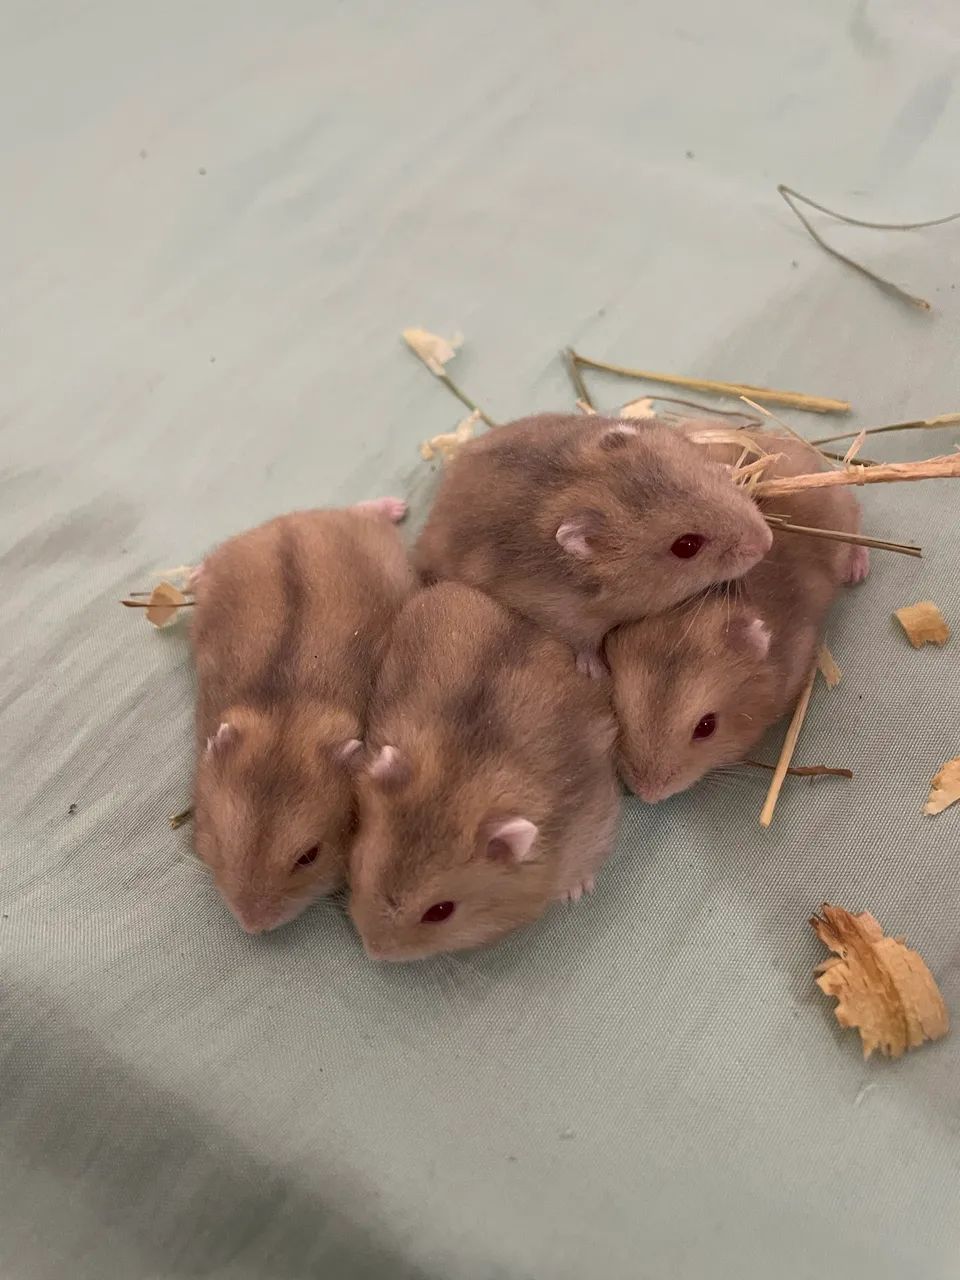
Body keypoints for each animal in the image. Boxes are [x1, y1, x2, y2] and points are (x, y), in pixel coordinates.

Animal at [413, 413, 773, 675]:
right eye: (686, 546)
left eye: (705, 478)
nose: (767, 542)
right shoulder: (567, 618)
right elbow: (584, 645)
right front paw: (598, 672)